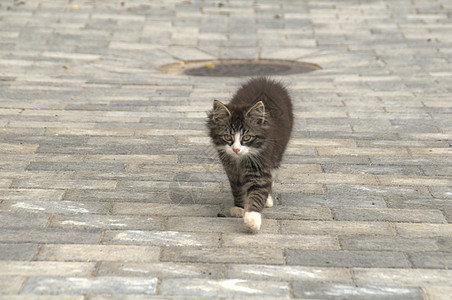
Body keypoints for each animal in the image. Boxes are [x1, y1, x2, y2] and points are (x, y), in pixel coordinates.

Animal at [206, 77, 294, 232]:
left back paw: (268, 199)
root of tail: (266, 80)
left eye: (246, 138)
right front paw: (239, 207)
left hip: (278, 152)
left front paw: (252, 219)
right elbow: (237, 189)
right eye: (227, 137)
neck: (240, 160)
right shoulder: (232, 170)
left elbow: (258, 193)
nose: (236, 149)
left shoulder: (260, 165)